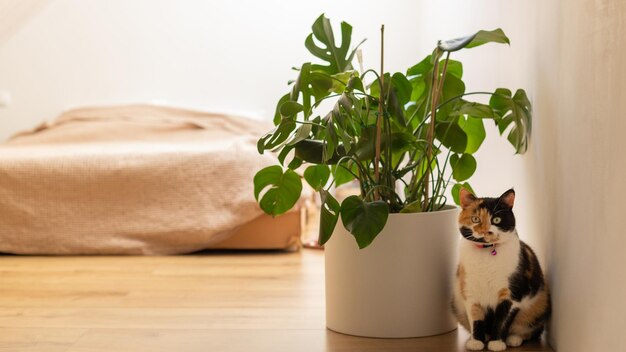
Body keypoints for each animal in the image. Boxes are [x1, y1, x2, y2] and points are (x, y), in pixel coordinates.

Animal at [450, 188, 548, 350]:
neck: (486, 254)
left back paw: (513, 338)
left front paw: (497, 343)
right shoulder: (470, 292)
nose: (485, 231)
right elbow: (475, 318)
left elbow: (502, 319)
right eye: (475, 219)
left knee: (532, 330)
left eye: (496, 220)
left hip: (539, 305)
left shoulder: (512, 293)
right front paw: (476, 342)